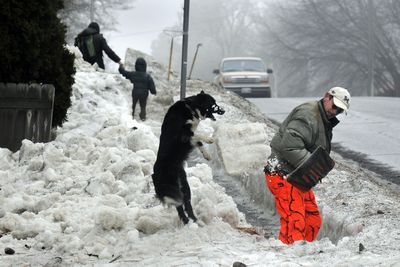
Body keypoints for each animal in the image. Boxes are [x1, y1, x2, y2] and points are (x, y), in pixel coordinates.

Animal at [152, 91, 225, 225]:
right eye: (213, 104)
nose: (223, 111)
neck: (192, 106)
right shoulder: (184, 134)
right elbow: (198, 135)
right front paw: (209, 139)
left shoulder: (190, 138)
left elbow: (199, 142)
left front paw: (207, 154)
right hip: (174, 188)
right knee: (180, 206)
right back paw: (190, 223)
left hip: (184, 187)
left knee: (185, 205)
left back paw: (193, 222)